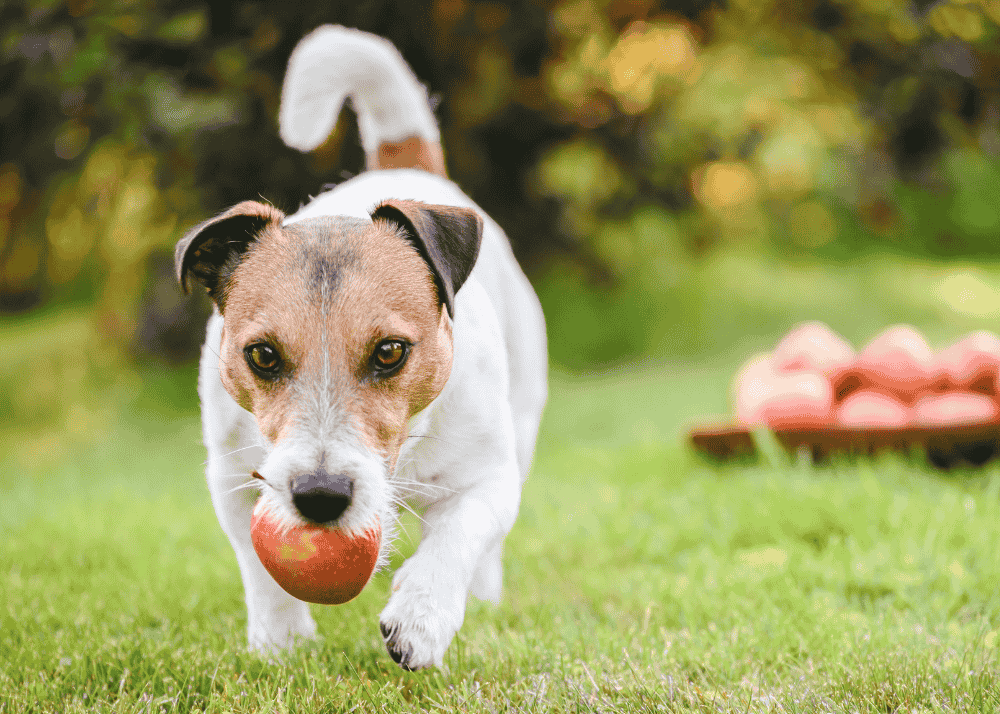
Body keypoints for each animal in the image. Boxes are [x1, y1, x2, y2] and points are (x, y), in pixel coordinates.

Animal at [172, 23, 548, 668]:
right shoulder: (232, 480)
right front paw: (279, 644)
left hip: (522, 418)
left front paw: (422, 616)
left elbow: (460, 533)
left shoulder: (487, 477)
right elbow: (260, 568)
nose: (320, 496)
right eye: (262, 355)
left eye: (391, 352)